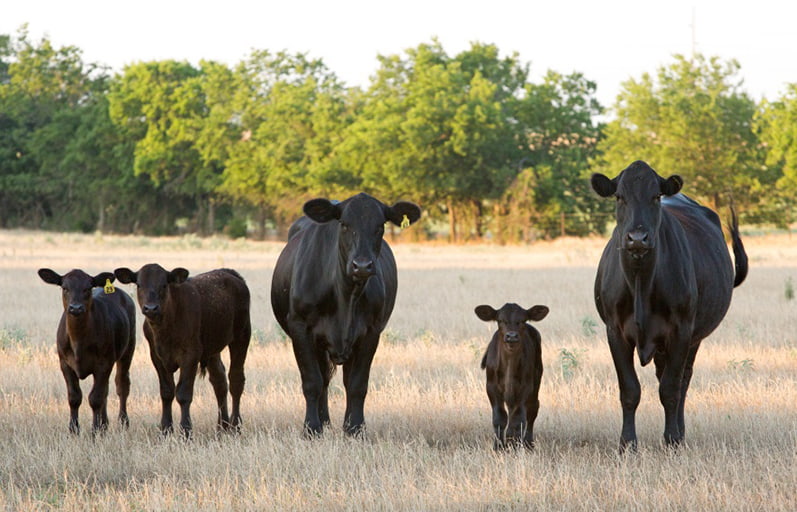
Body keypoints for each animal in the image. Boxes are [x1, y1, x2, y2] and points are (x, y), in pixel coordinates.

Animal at [38, 270, 137, 434]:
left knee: (122, 385)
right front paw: (74, 429)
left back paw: (123, 422)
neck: (78, 341)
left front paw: (95, 430)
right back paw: (105, 423)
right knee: (106, 390)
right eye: (65, 288)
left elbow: (95, 398)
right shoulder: (64, 364)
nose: (75, 308)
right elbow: (74, 397)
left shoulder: (103, 364)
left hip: (128, 349)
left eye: (88, 288)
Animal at [113, 264, 250, 436]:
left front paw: (186, 431)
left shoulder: (190, 355)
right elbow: (166, 392)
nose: (150, 308)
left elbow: (183, 393)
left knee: (236, 380)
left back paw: (235, 426)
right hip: (212, 349)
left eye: (164, 285)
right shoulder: (156, 357)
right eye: (139, 285)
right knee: (219, 381)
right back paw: (222, 427)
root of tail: (229, 273)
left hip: (242, 336)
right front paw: (165, 429)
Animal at [270, 192, 420, 436]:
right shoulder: (300, 328)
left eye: (380, 225)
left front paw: (355, 428)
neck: (345, 296)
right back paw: (323, 421)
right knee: (323, 380)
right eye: (344, 224)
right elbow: (312, 381)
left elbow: (357, 384)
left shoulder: (371, 332)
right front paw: (311, 428)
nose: (362, 266)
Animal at [472, 302, 548, 450]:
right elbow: (499, 417)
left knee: (532, 409)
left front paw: (515, 446)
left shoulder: (526, 387)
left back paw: (527, 443)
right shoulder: (491, 387)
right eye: (500, 320)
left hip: (536, 380)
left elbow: (518, 418)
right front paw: (499, 447)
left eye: (523, 320)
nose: (511, 336)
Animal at [592, 161, 748, 452]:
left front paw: (672, 439)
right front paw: (627, 444)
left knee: (682, 381)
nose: (637, 238)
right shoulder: (615, 331)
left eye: (655, 196)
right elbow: (630, 390)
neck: (641, 282)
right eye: (619, 196)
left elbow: (671, 389)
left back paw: (680, 432)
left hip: (694, 337)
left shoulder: (681, 331)